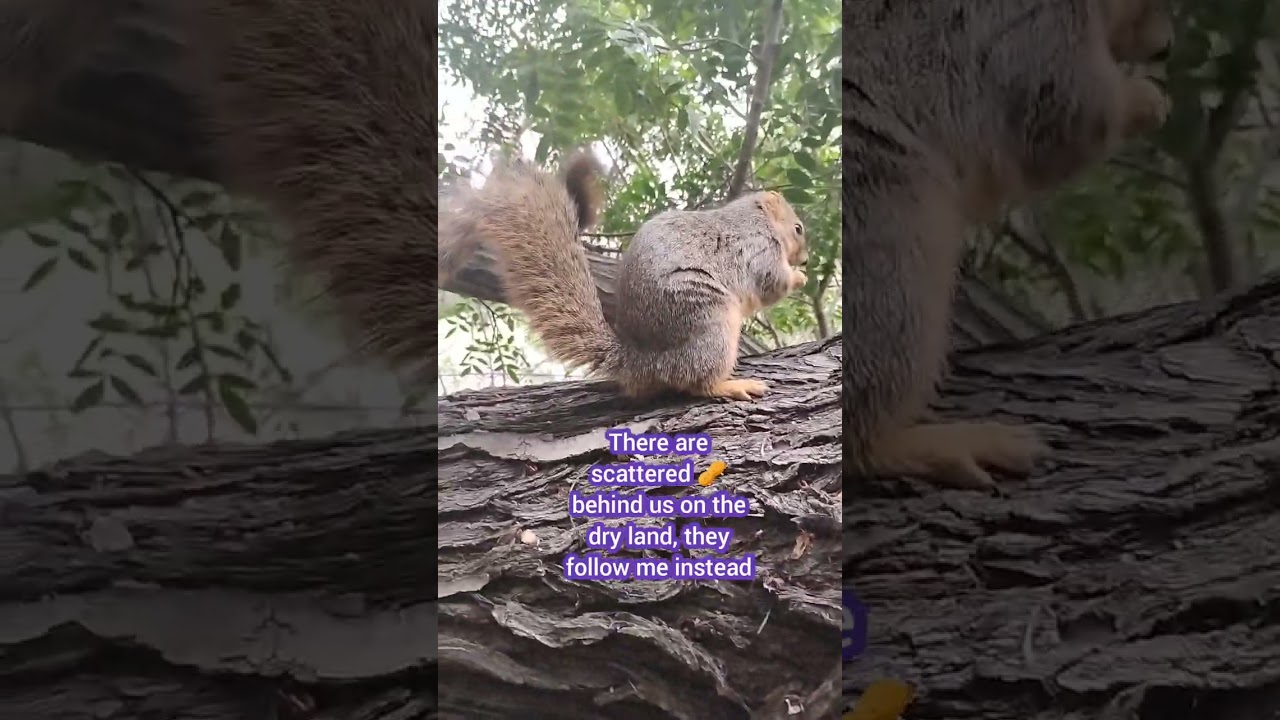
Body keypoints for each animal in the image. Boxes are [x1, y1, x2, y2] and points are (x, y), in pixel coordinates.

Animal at [443, 152, 810, 402]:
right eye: (798, 228)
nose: (806, 258)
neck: (756, 219)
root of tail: (641, 362)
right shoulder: (758, 248)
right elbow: (772, 283)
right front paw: (800, 278)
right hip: (711, 322)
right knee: (696, 382)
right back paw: (730, 385)